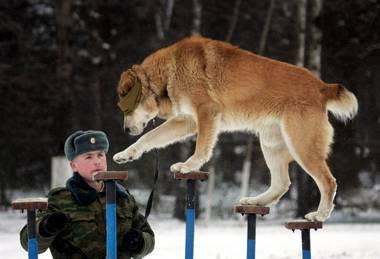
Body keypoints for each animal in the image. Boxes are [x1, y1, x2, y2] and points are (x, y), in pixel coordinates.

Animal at [112, 36, 356, 222]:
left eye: (126, 108)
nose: (125, 130)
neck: (167, 74)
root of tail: (321, 87)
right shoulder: (188, 120)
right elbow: (149, 138)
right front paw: (126, 154)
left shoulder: (206, 112)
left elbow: (201, 148)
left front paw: (189, 165)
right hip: (271, 144)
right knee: (281, 183)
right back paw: (255, 201)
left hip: (301, 146)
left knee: (328, 182)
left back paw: (319, 215)